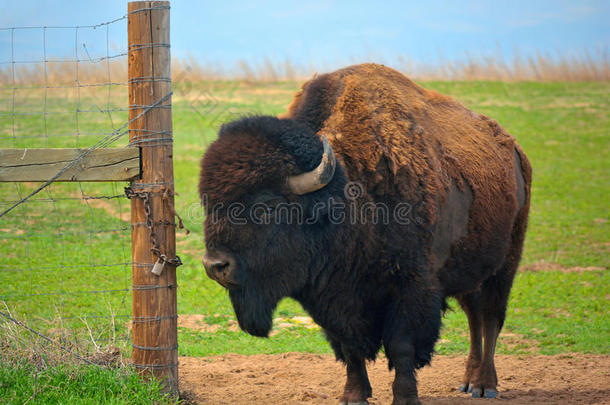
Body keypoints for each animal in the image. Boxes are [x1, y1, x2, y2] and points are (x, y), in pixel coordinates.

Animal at [198, 64, 528, 402]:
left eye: (266, 207)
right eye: (208, 203)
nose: (215, 266)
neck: (350, 193)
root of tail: (514, 151)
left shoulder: (411, 287)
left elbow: (402, 345)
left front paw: (405, 397)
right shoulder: (334, 299)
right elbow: (349, 347)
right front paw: (353, 395)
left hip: (505, 265)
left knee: (491, 318)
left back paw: (485, 385)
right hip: (470, 272)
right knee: (475, 317)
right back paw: (468, 382)